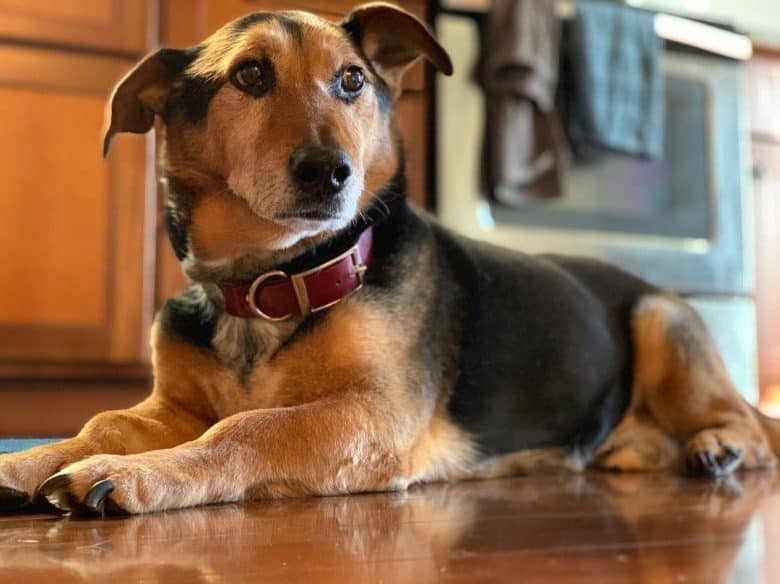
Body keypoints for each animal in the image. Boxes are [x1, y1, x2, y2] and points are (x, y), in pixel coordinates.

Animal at [1, 3, 780, 516]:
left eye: (351, 81)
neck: (271, 282)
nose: (329, 172)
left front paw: (132, 475)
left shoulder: (375, 416)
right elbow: (105, 420)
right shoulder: (172, 404)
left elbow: (244, 428)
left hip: (662, 322)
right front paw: (26, 461)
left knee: (749, 428)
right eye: (249, 76)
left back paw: (718, 447)